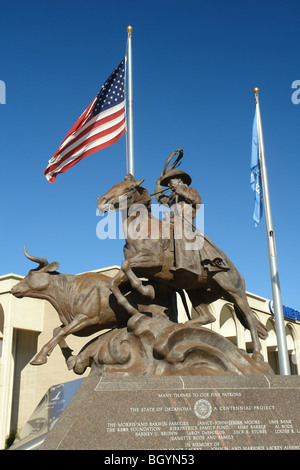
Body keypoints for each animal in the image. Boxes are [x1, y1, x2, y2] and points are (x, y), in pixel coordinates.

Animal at [98, 178, 268, 358]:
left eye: (128, 188)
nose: (101, 201)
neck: (142, 230)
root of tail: (236, 271)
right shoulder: (139, 268)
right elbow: (114, 281)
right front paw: (132, 308)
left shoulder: (152, 261)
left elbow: (126, 266)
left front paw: (147, 291)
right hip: (196, 291)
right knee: (209, 317)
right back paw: (185, 325)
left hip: (234, 291)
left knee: (249, 318)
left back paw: (257, 353)